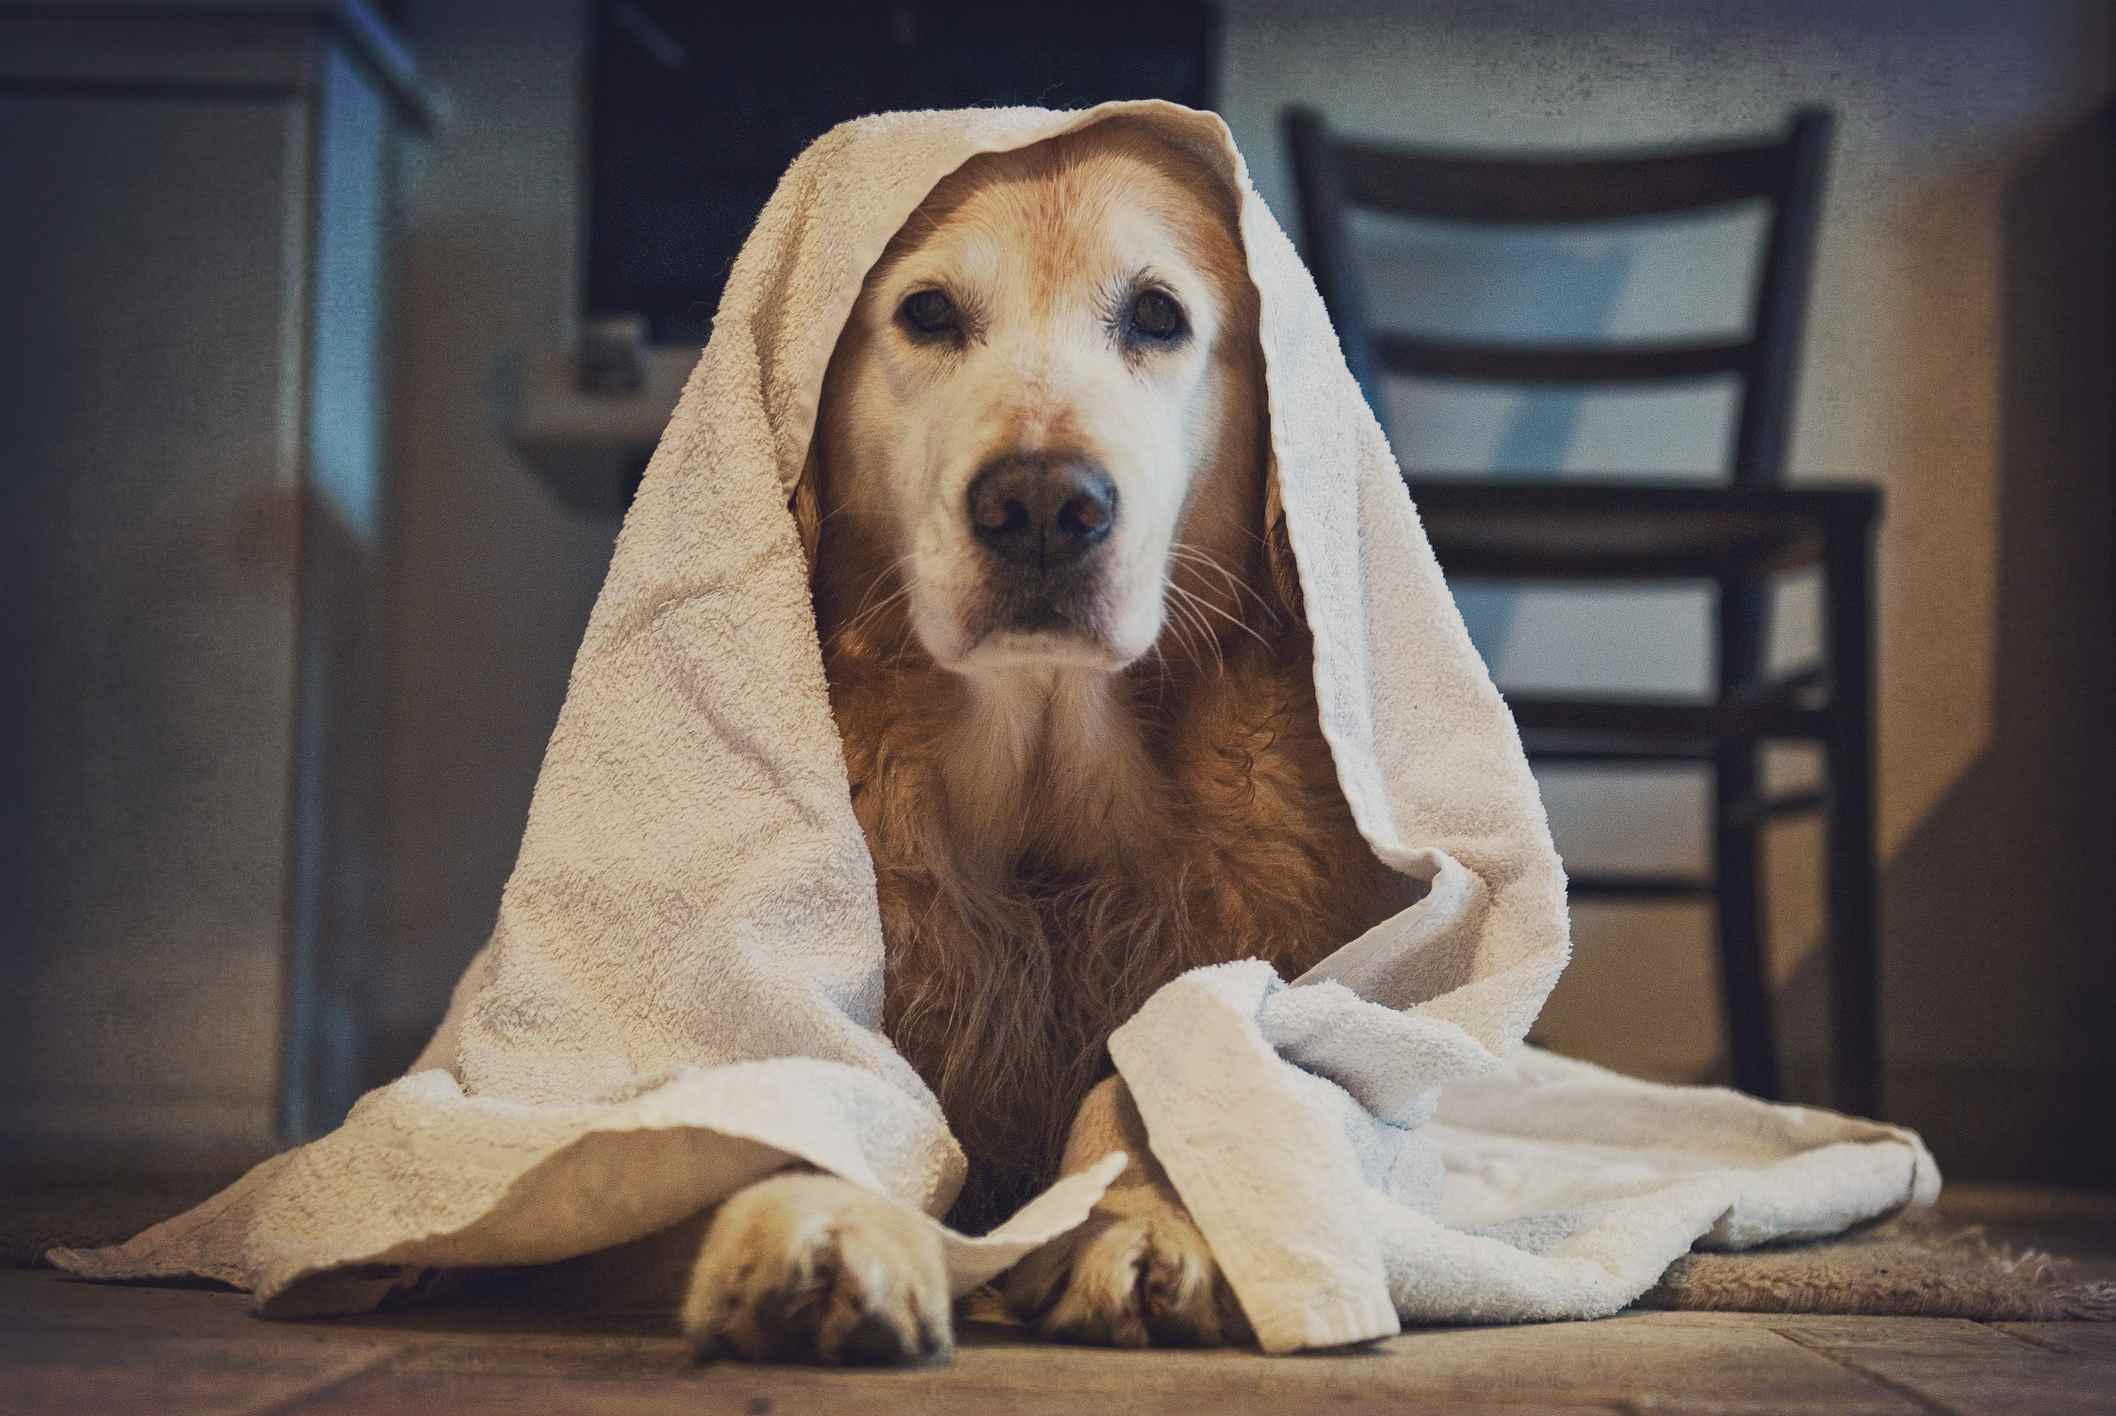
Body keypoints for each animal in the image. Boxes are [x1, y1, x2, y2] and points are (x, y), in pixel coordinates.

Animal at [672, 118, 1421, 1354]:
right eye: (928, 313)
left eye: (1157, 316)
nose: (1038, 507)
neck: (1040, 812)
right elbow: (819, 1066)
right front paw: (822, 1213)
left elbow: (1162, 1071)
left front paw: (1142, 1218)